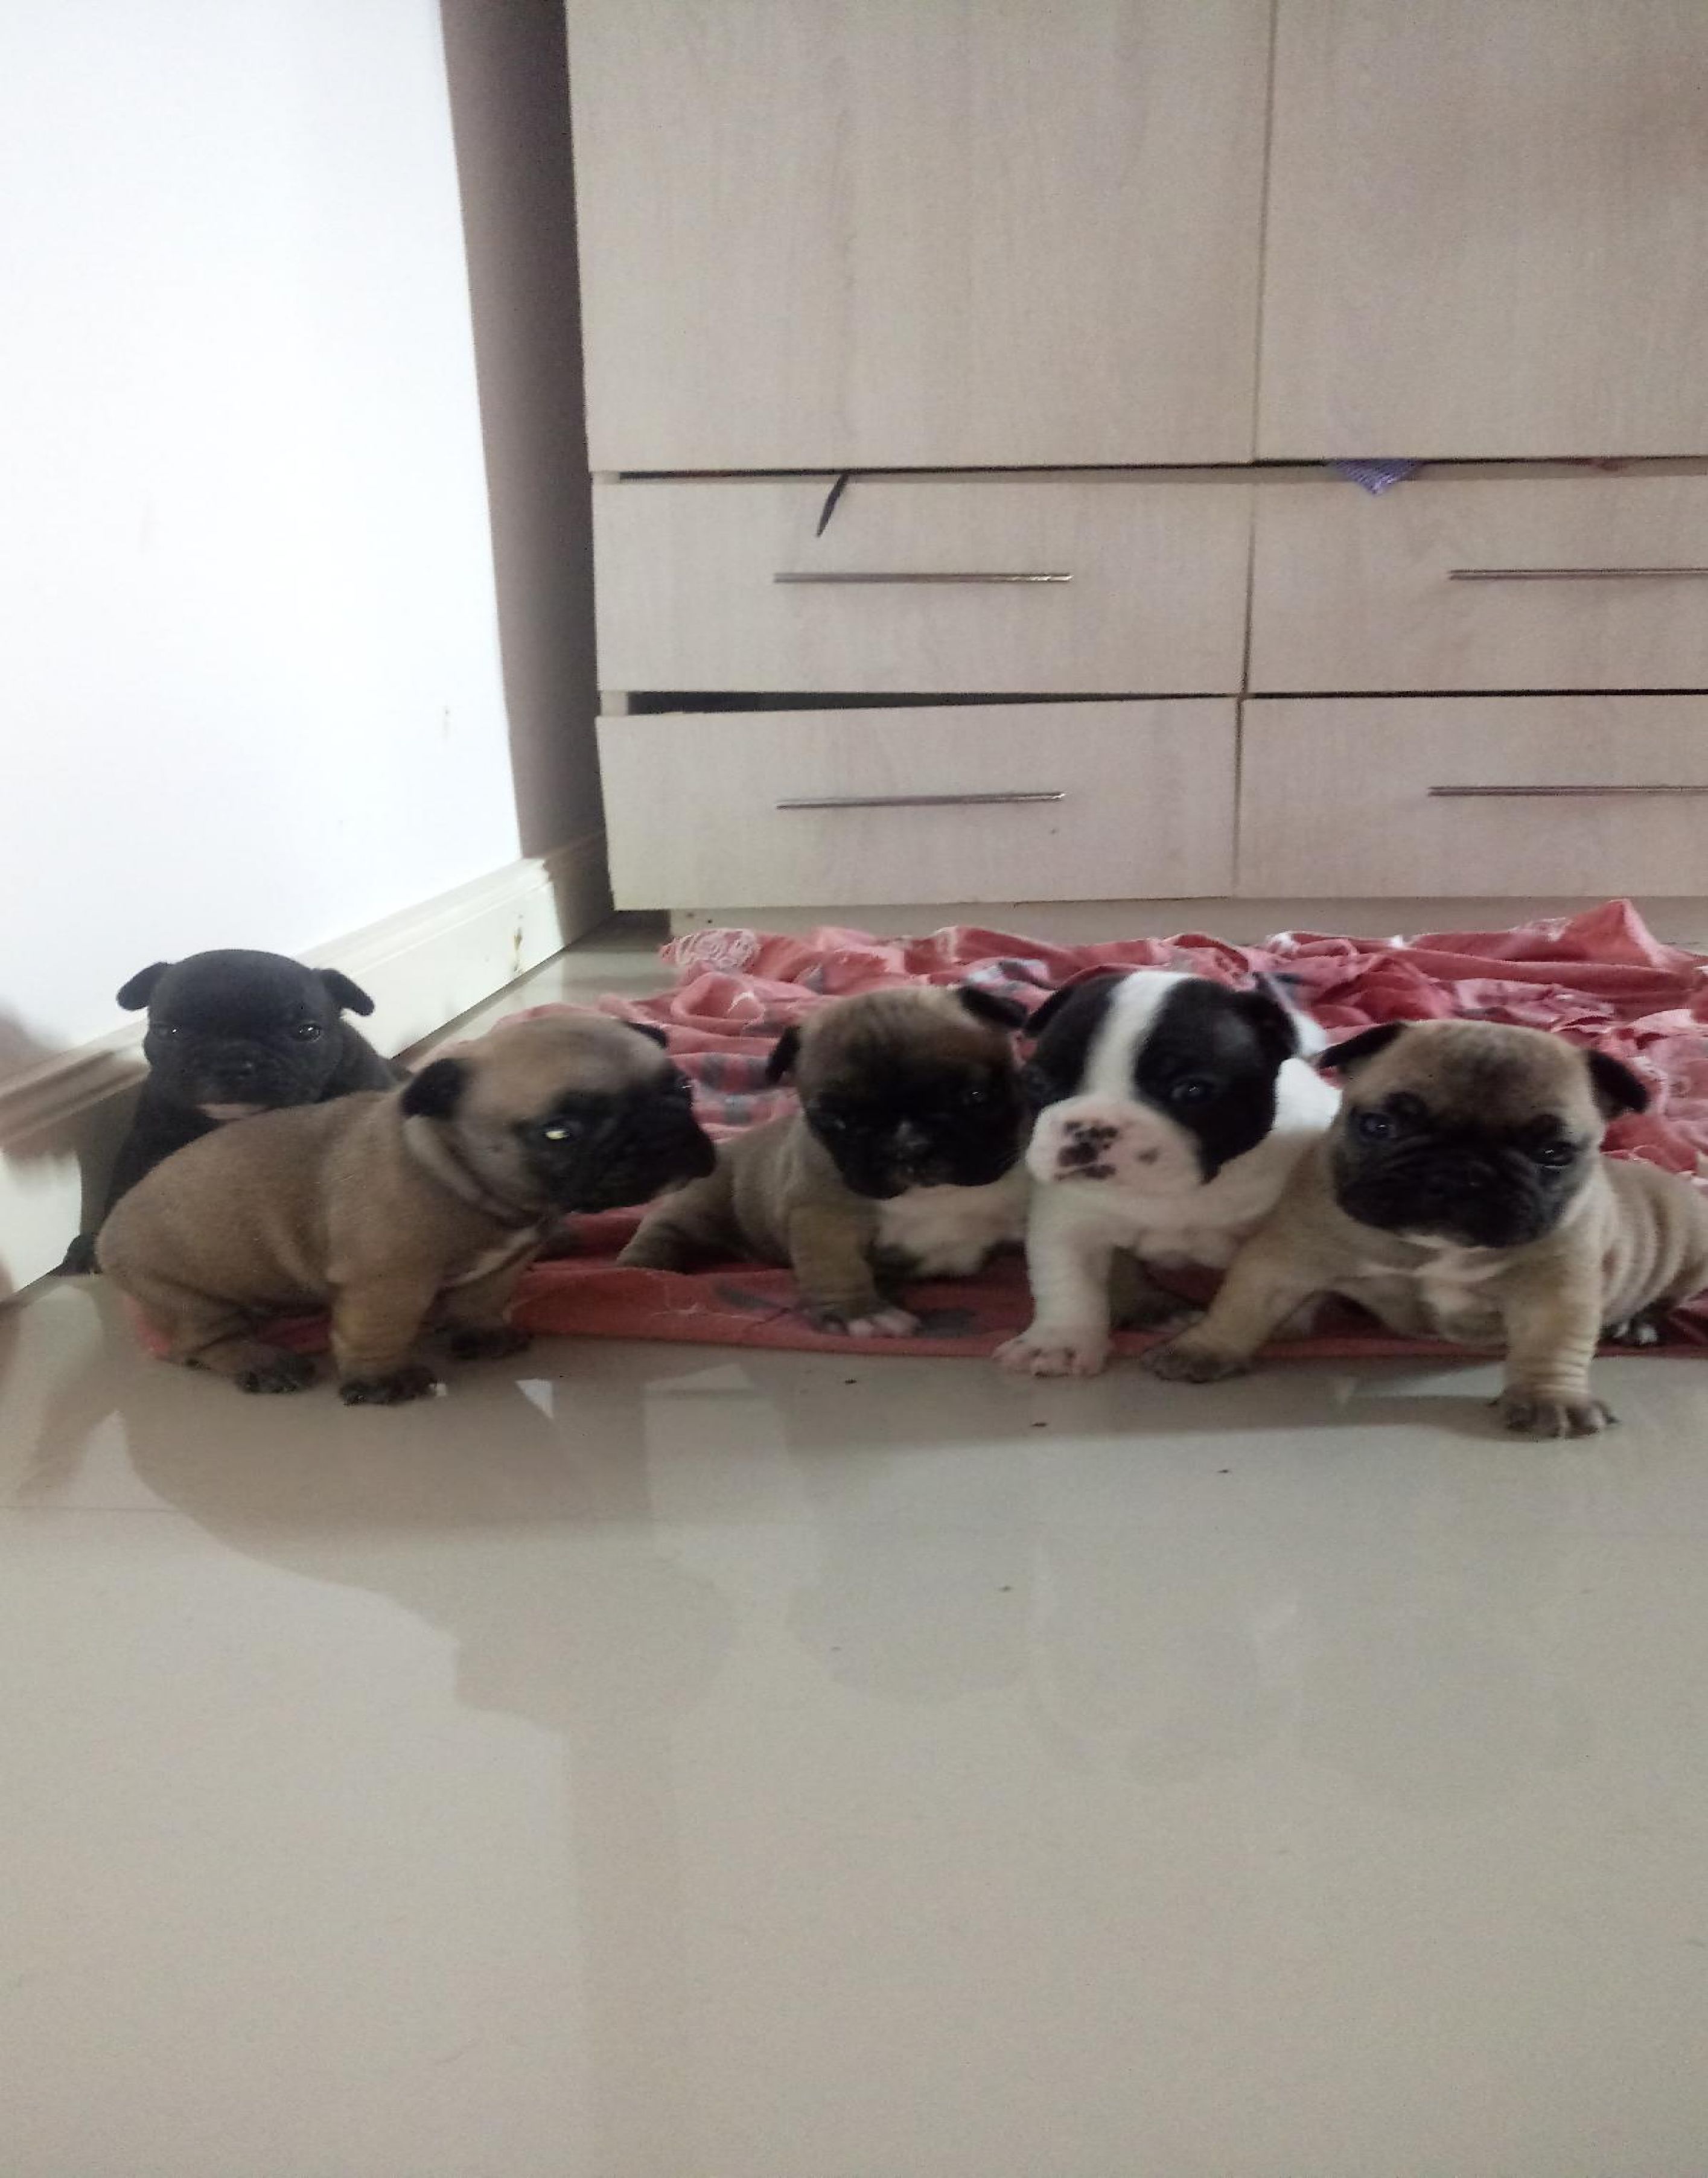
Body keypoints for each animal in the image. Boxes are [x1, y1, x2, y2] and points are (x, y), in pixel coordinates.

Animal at [60, 949, 403, 1273]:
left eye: (307, 1032)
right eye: (167, 1031)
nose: (231, 1062)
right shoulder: (147, 1142)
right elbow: (123, 1187)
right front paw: (95, 1244)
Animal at [97, 1014, 715, 1402]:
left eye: (683, 1088)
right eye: (559, 1131)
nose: (659, 1133)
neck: (453, 1174)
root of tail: (108, 1230)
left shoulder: (504, 1264)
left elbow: (482, 1301)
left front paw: (482, 1333)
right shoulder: (388, 1281)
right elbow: (379, 1329)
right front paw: (382, 1381)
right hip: (187, 1295)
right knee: (202, 1342)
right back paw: (261, 1361)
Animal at [618, 984, 1031, 1335]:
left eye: (976, 1097)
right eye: (836, 1120)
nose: (909, 1145)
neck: (935, 1196)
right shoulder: (825, 1217)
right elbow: (837, 1265)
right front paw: (859, 1314)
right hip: (697, 1205)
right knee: (663, 1231)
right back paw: (642, 1271)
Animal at [996, 969, 1339, 1377]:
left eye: (1192, 1090)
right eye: (1037, 1082)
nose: (1090, 1128)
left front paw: (1289, 1321)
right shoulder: (1069, 1219)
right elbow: (1069, 1281)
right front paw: (1057, 1344)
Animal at [1145, 1018, 1708, 1437]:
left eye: (1553, 1152)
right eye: (1379, 1125)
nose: (1460, 1171)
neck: (1430, 1248)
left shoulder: (1555, 1287)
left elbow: (1553, 1344)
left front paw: (1551, 1399)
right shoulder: (1288, 1256)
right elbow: (1242, 1306)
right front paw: (1204, 1348)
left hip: (1692, 1247)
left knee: (1668, 1295)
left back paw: (1638, 1323)